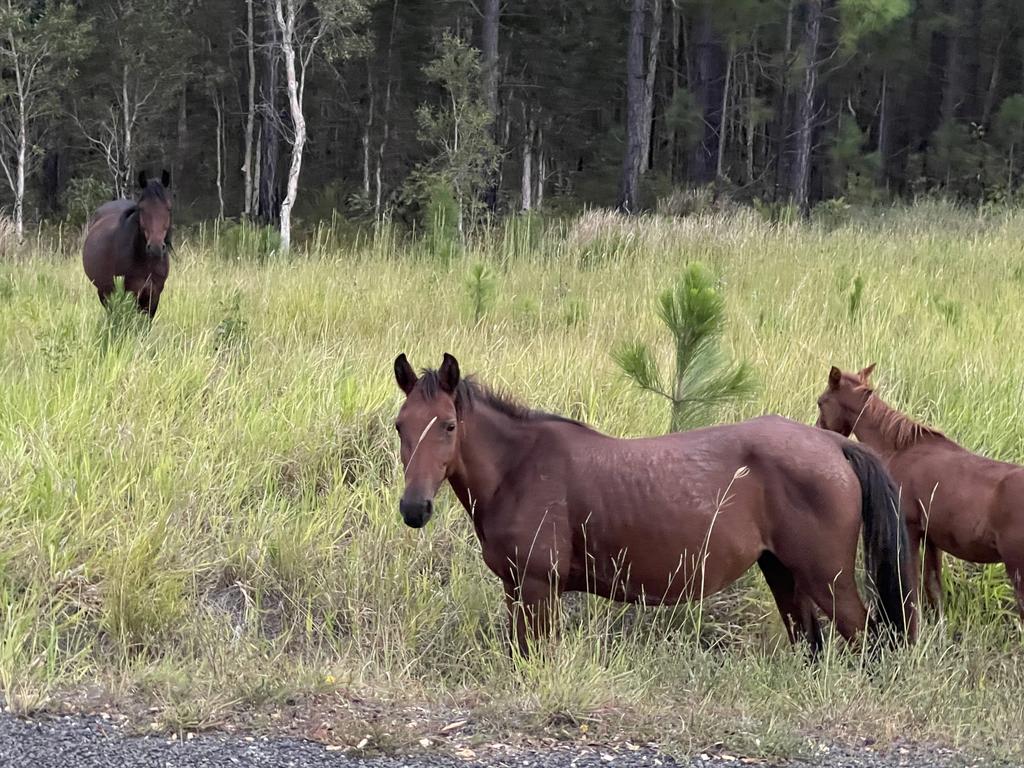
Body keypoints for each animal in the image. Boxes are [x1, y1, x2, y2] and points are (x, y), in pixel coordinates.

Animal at [82, 171, 173, 319]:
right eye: (141, 208)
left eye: (169, 207)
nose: (156, 248)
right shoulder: (132, 292)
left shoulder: (154, 293)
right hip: (104, 290)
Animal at [389, 352, 913, 659]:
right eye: (400, 425)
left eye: (448, 425)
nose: (414, 508)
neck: (519, 468)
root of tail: (832, 445)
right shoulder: (517, 590)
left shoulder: (538, 589)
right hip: (783, 572)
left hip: (828, 580)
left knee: (867, 638)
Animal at [815, 364, 1024, 618]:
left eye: (821, 402)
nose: (818, 432)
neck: (899, 448)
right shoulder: (931, 538)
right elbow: (934, 590)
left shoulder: (910, 529)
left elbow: (912, 590)